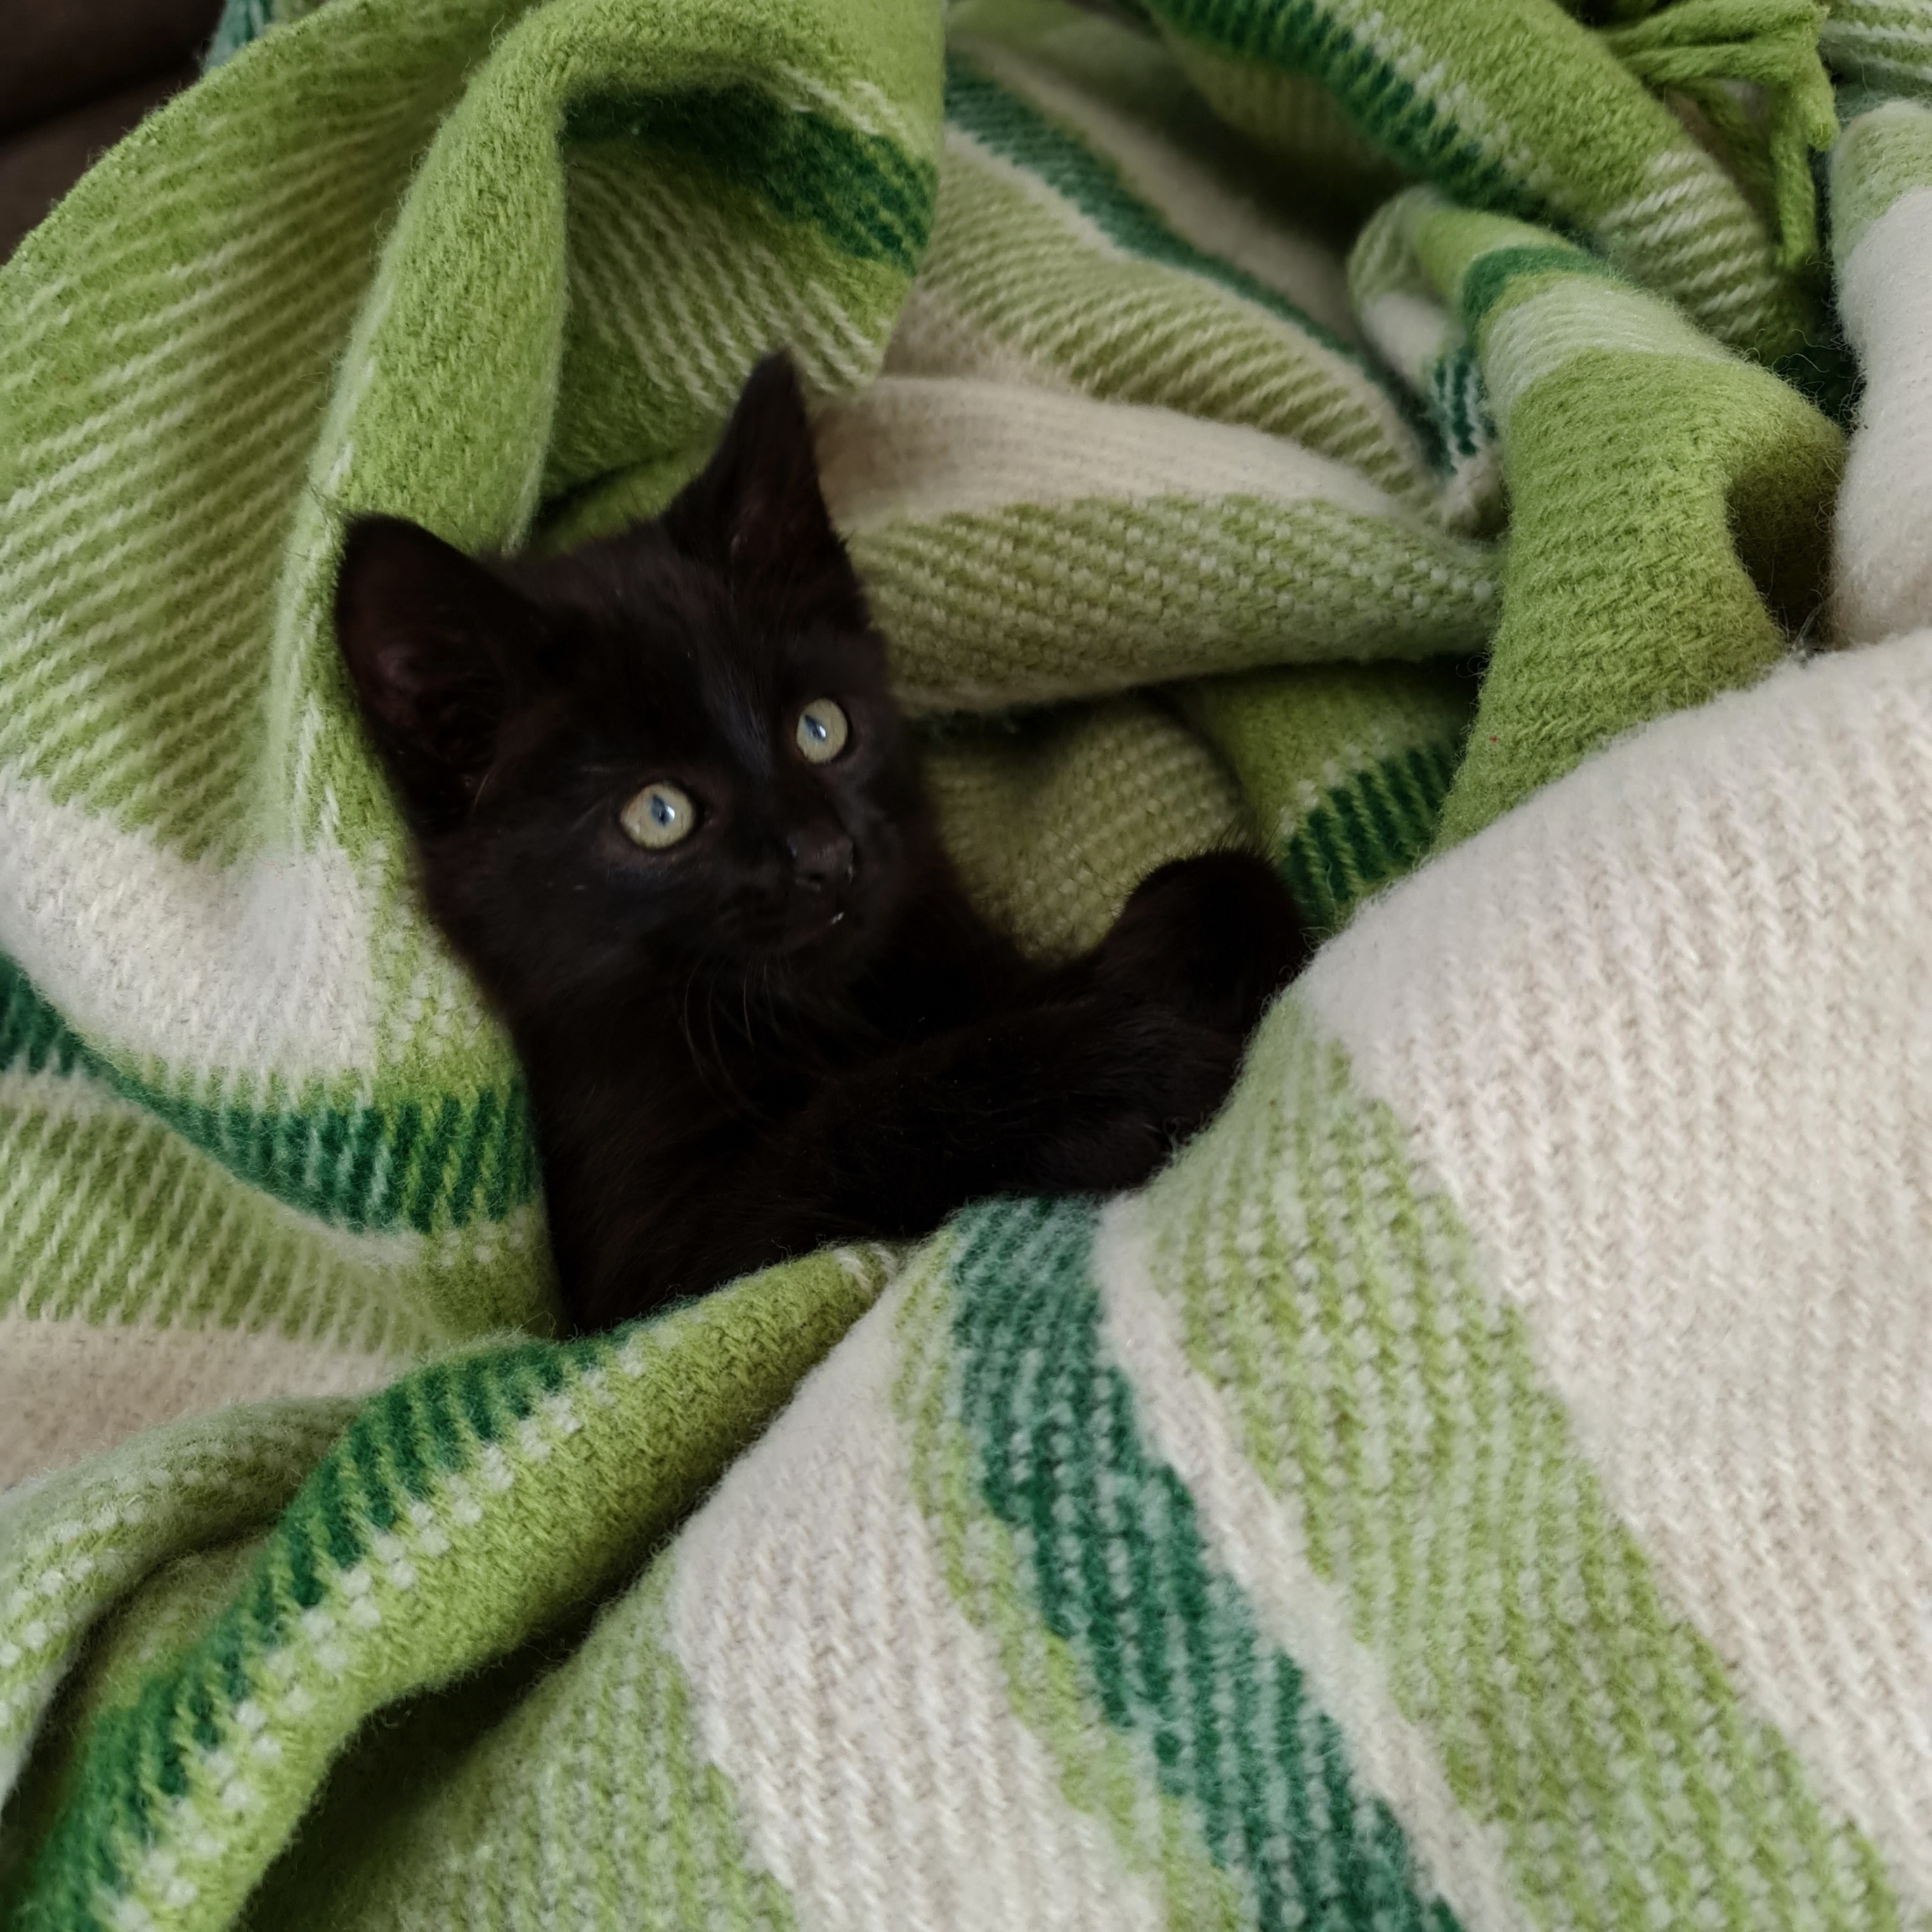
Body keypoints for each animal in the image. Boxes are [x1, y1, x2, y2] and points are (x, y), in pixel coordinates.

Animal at [334, 354, 1310, 1331]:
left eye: (820, 728)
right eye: (658, 813)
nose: (822, 853)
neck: (829, 1008)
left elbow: (1221, 882)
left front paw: (1168, 961)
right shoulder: (645, 1264)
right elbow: (850, 1116)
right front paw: (1108, 1078)